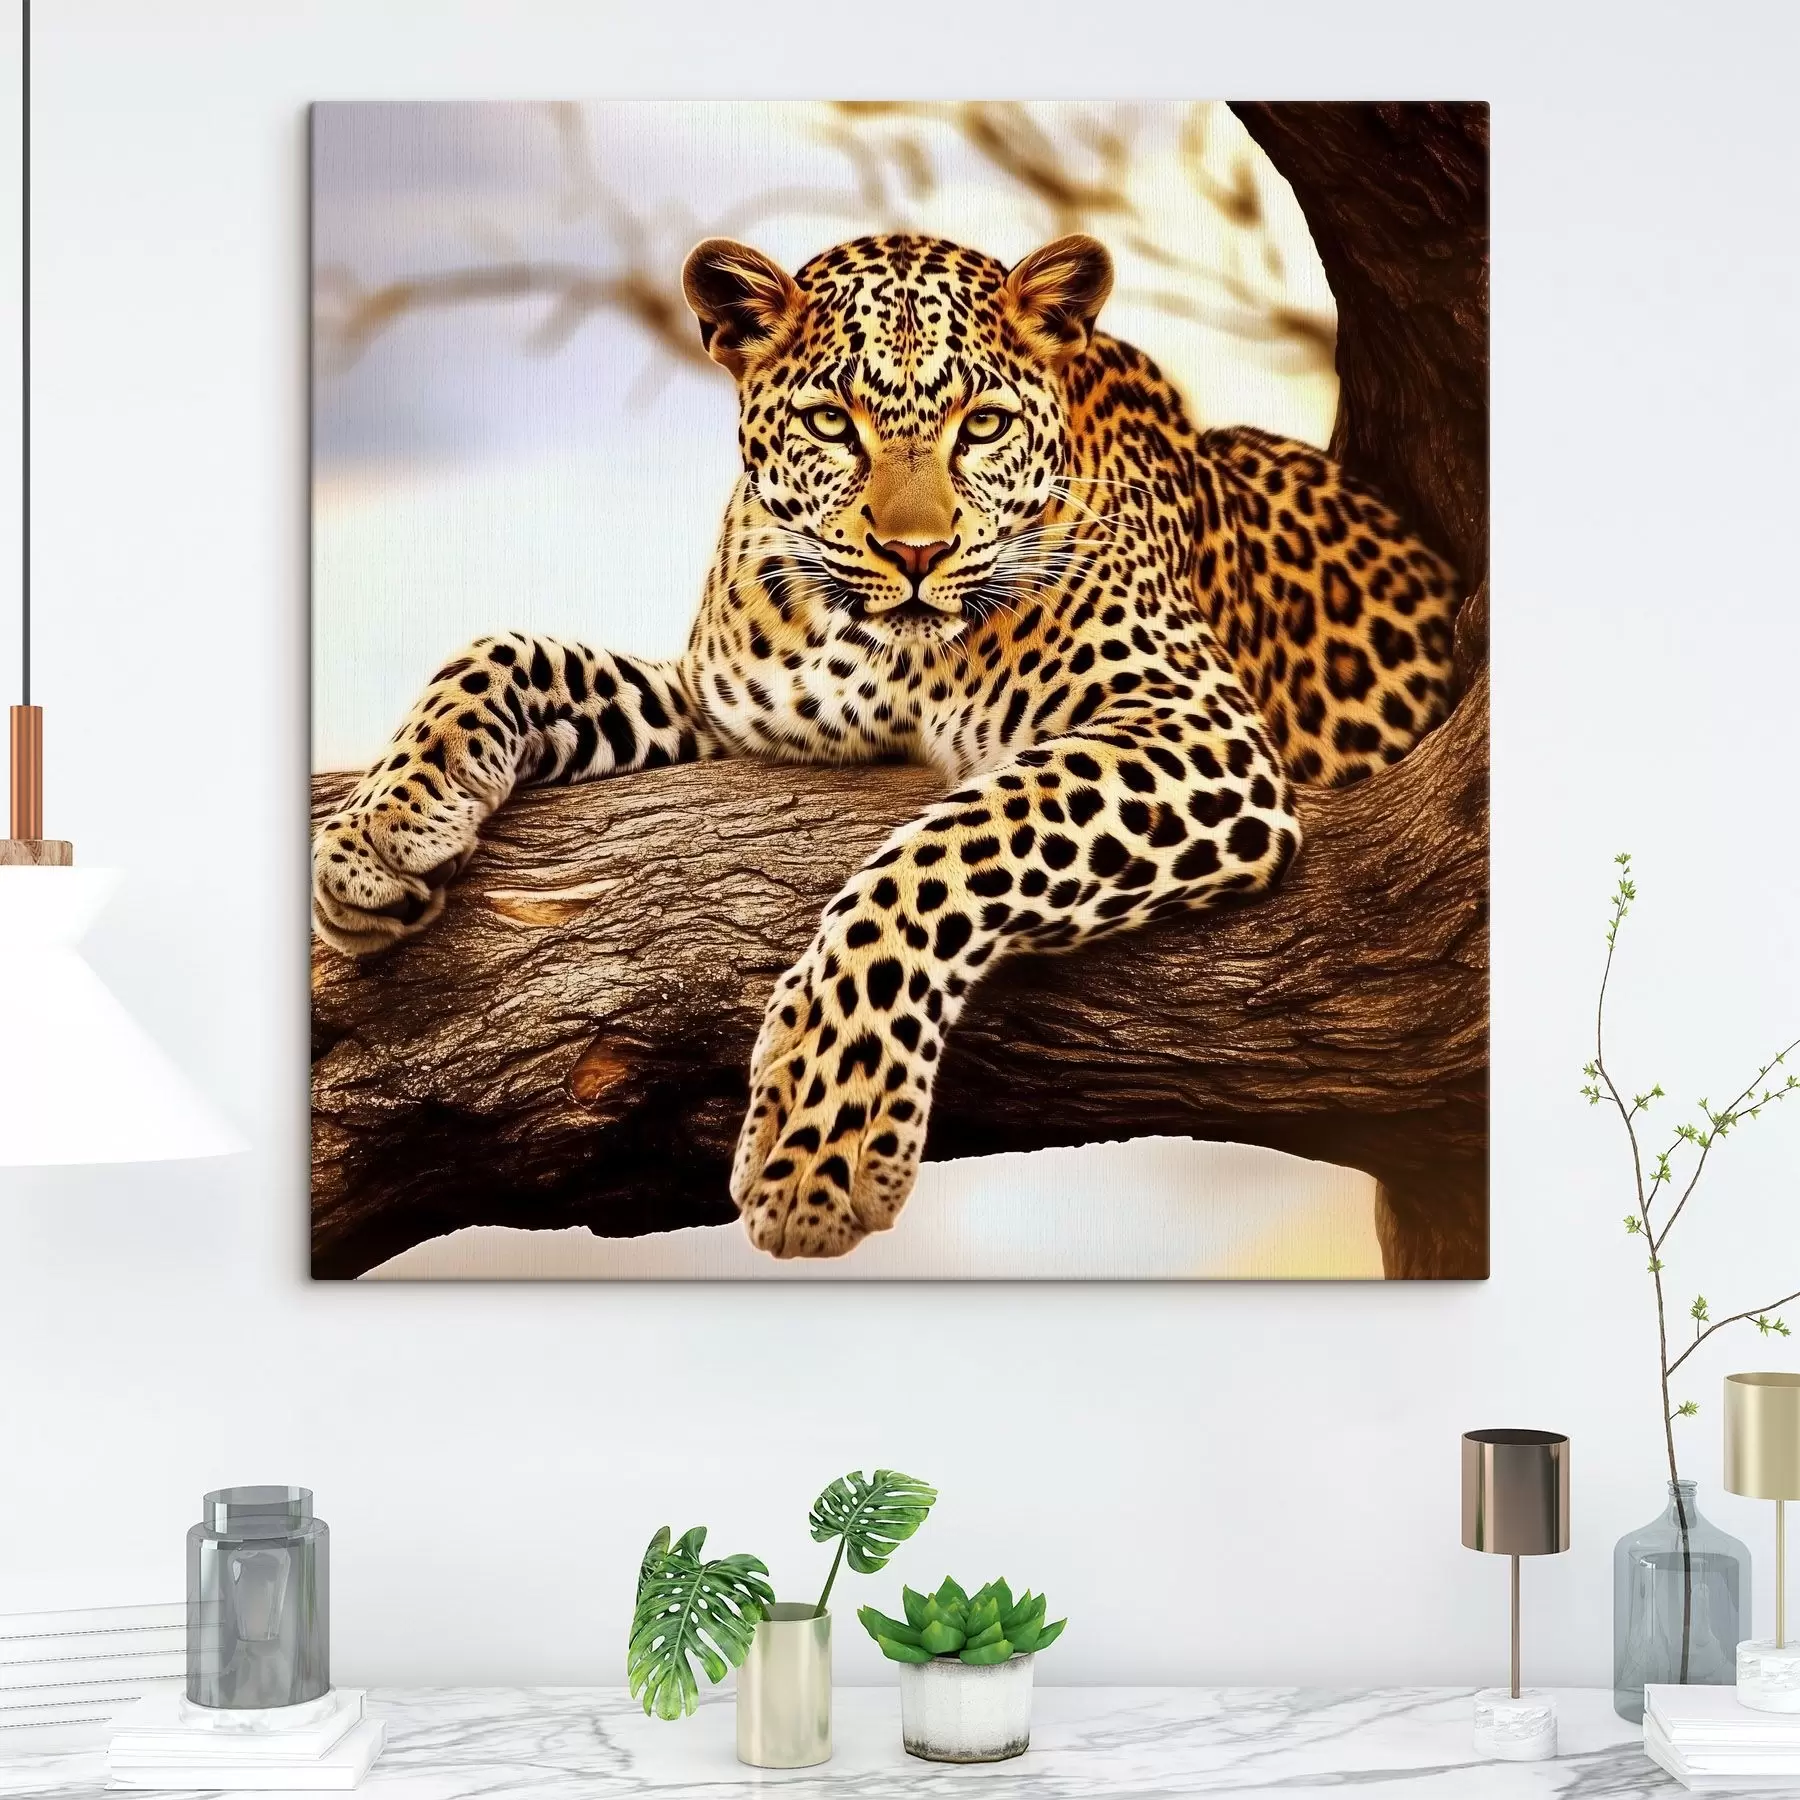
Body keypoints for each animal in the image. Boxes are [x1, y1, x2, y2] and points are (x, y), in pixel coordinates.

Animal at [312, 231, 1460, 1260]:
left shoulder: (1192, 725)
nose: (916, 554)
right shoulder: (718, 716)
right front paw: (377, 836)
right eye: (833, 422)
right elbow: (508, 650)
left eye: (983, 426)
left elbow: (946, 852)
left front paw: (822, 1135)